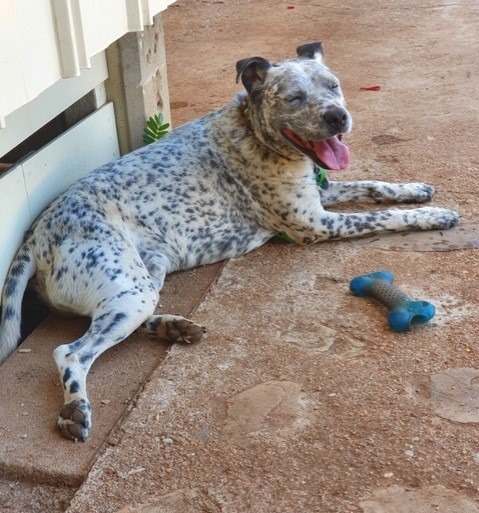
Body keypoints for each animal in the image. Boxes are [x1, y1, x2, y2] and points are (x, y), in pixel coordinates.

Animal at [0, 42, 459, 442]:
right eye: (294, 97)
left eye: (333, 85)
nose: (338, 117)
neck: (254, 133)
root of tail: (35, 234)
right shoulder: (315, 223)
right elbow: (384, 216)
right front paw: (433, 215)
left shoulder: (320, 195)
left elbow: (376, 185)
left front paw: (415, 189)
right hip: (128, 286)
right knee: (71, 352)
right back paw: (75, 409)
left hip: (143, 277)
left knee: (103, 323)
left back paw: (173, 327)